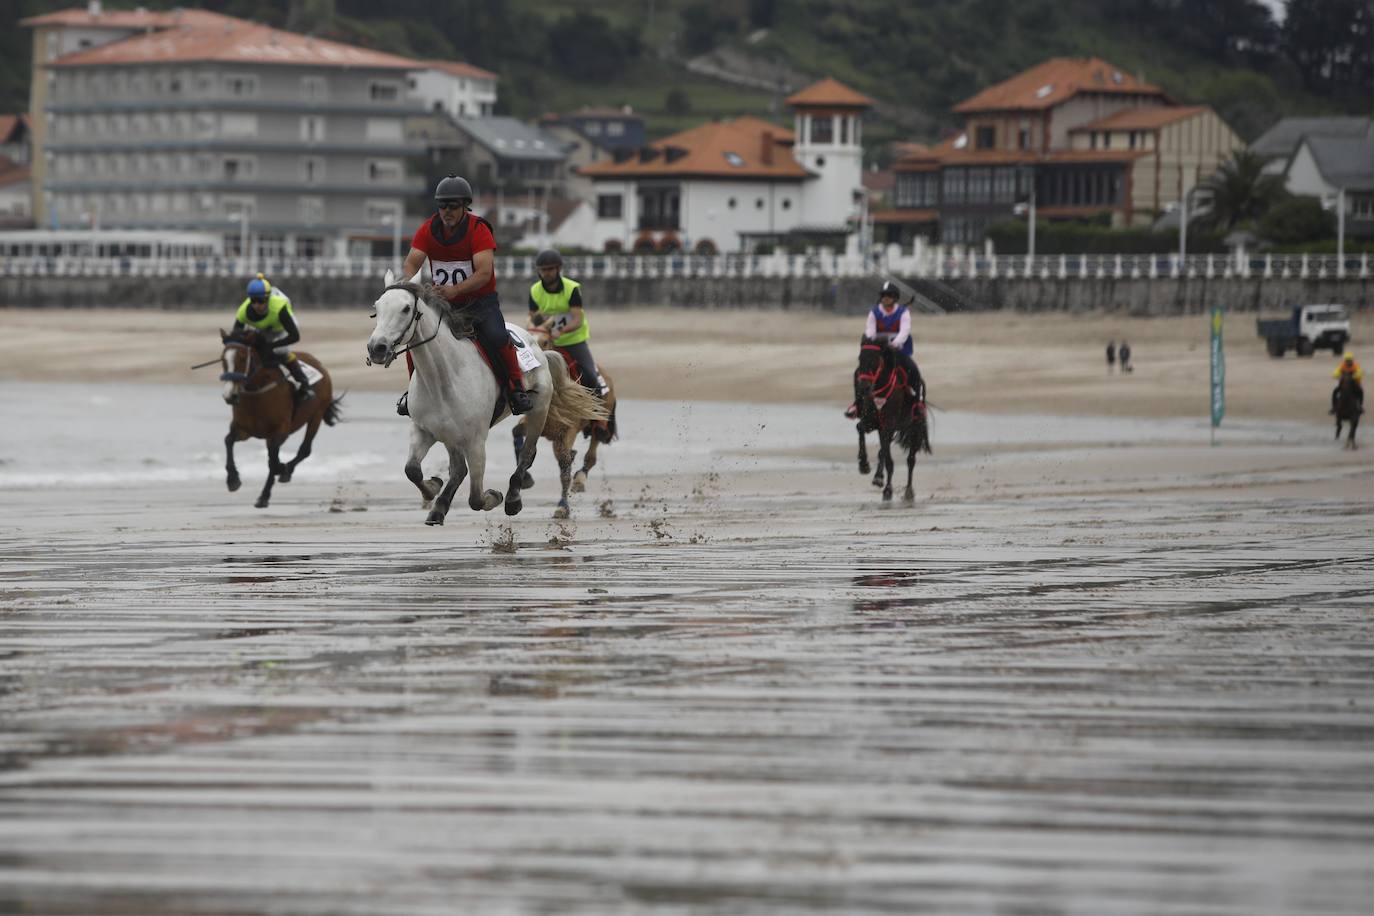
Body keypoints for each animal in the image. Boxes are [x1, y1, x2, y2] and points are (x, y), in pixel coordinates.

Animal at [218, 328, 342, 508]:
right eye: (223, 359)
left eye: (242, 357)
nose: (229, 395)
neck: (257, 392)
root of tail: (319, 364)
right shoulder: (243, 429)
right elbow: (228, 441)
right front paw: (233, 480)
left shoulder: (281, 431)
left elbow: (273, 460)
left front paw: (269, 489)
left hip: (317, 415)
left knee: (305, 449)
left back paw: (283, 474)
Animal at [365, 269, 607, 527]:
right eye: (377, 308)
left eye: (406, 308)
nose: (377, 348)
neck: (441, 377)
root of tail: (536, 343)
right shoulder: (424, 430)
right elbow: (412, 470)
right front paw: (433, 487)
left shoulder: (475, 441)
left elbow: (476, 497)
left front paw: (494, 497)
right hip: (451, 436)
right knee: (458, 470)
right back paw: (439, 507)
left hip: (539, 409)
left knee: (527, 453)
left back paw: (512, 498)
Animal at [513, 333, 621, 519]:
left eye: (545, 341)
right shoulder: (534, 424)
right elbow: (516, 433)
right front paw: (526, 478)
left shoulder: (567, 431)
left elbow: (564, 467)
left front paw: (563, 507)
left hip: (598, 423)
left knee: (590, 454)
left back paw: (579, 480)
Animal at [851, 336, 928, 505]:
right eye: (860, 358)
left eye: (875, 360)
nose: (864, 387)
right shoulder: (873, 423)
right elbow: (860, 428)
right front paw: (863, 465)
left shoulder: (889, 426)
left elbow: (889, 460)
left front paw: (888, 490)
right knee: (883, 450)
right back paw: (878, 477)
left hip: (913, 430)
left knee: (910, 460)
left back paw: (908, 492)